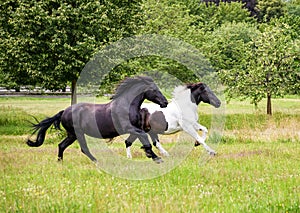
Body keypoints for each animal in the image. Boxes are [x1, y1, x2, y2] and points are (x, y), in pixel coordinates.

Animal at [27, 76, 169, 163]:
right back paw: (96, 161)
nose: (165, 103)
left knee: (61, 145)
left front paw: (153, 155)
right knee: (83, 148)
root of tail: (64, 112)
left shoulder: (136, 128)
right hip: (77, 133)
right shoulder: (129, 128)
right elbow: (144, 139)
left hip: (72, 135)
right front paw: (156, 158)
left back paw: (60, 162)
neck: (126, 106)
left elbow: (138, 140)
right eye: (154, 90)